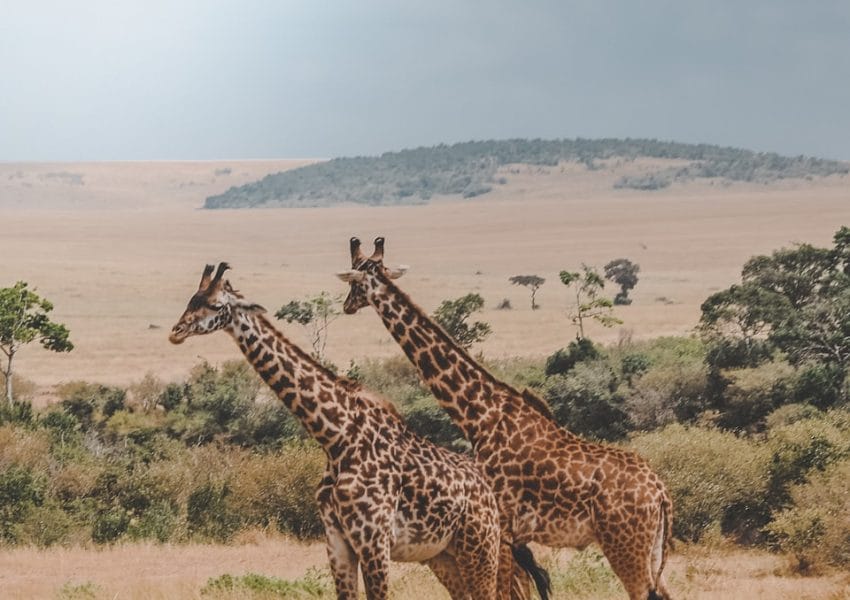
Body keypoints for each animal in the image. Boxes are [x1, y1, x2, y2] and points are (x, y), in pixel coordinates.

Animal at [169, 262, 510, 600]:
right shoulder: (337, 541)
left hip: (479, 547)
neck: (337, 438)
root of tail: (489, 493)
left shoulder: (374, 541)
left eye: (215, 305)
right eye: (191, 300)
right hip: (443, 554)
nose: (176, 332)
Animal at [338, 239, 676, 600]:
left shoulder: (500, 524)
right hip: (651, 549)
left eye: (355, 283)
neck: (479, 414)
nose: (346, 306)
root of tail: (661, 494)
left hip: (625, 547)